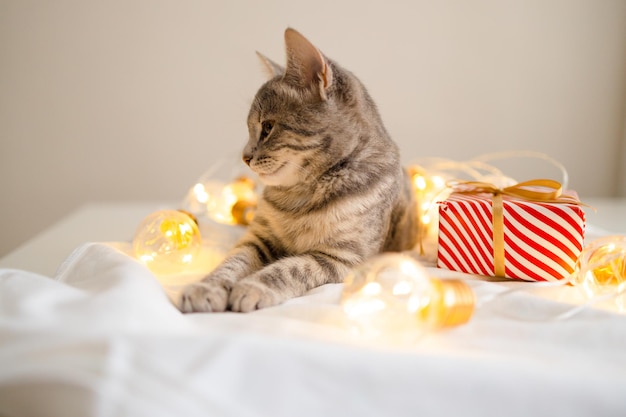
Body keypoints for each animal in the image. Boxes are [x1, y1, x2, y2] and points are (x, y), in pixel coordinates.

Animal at [178, 28, 416, 312]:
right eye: (250, 128)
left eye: (267, 127)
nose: (245, 157)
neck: (300, 195)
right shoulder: (257, 238)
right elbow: (232, 262)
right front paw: (206, 287)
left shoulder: (341, 258)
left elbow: (290, 268)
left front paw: (253, 287)